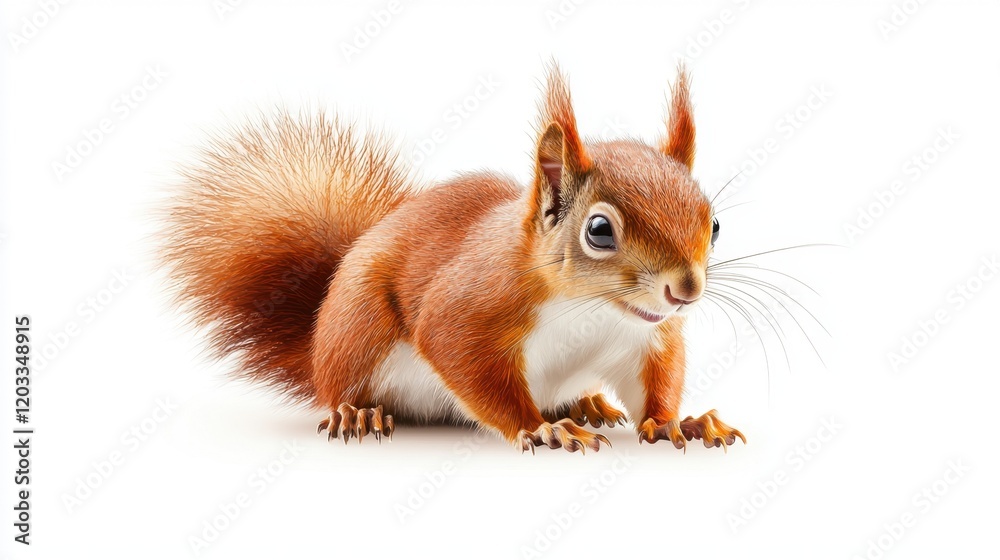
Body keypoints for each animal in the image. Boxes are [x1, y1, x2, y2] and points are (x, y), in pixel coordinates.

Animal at [161, 64, 746, 454]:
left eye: (714, 224)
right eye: (599, 231)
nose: (686, 290)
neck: (592, 311)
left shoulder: (647, 340)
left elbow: (658, 383)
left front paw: (676, 423)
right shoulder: (472, 305)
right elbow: (462, 355)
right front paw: (539, 427)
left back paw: (586, 403)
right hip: (357, 330)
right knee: (341, 386)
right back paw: (357, 412)